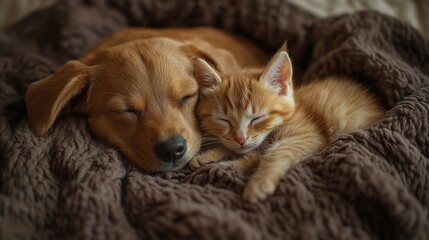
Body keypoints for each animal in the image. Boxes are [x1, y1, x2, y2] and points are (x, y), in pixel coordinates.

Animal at [190, 46, 382, 202]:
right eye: (224, 120)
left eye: (257, 118)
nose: (241, 139)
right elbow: (241, 150)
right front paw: (207, 156)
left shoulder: (308, 137)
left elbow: (271, 154)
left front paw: (254, 180)